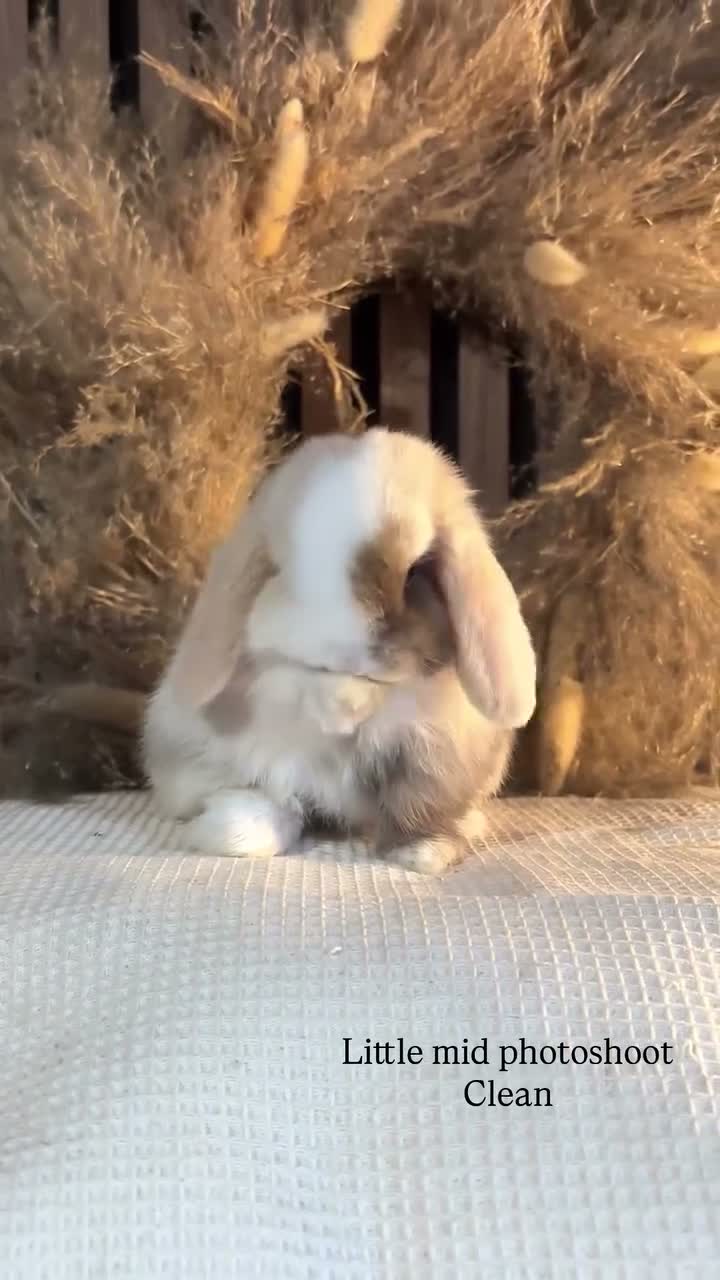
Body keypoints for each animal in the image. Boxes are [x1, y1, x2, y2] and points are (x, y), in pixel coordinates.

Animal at [139, 426, 536, 874]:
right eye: (284, 568)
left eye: (416, 571)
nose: (355, 652)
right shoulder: (270, 685)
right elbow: (295, 682)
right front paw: (344, 705)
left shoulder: (434, 746)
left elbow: (418, 798)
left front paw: (422, 852)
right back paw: (233, 833)